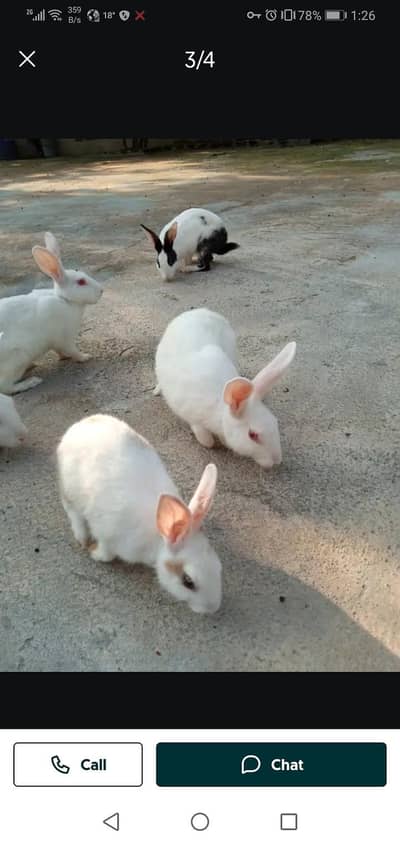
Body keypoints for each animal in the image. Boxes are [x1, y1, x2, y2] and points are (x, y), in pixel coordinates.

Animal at [0, 232, 103, 395]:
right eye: (81, 282)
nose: (101, 290)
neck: (66, 301)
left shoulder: (57, 342)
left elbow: (60, 351)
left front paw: (65, 357)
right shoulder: (66, 338)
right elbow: (73, 351)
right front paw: (86, 357)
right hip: (16, 359)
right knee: (5, 387)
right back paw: (31, 382)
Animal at [57, 413, 222, 614]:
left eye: (219, 566)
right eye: (188, 581)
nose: (213, 608)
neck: (158, 540)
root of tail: (78, 427)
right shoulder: (108, 537)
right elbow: (107, 554)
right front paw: (94, 553)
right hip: (70, 492)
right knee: (73, 512)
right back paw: (83, 538)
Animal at [155, 308, 296, 469]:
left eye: (275, 422)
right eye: (252, 435)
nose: (277, 460)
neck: (220, 410)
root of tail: (201, 311)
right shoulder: (194, 419)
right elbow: (205, 439)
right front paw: (211, 443)